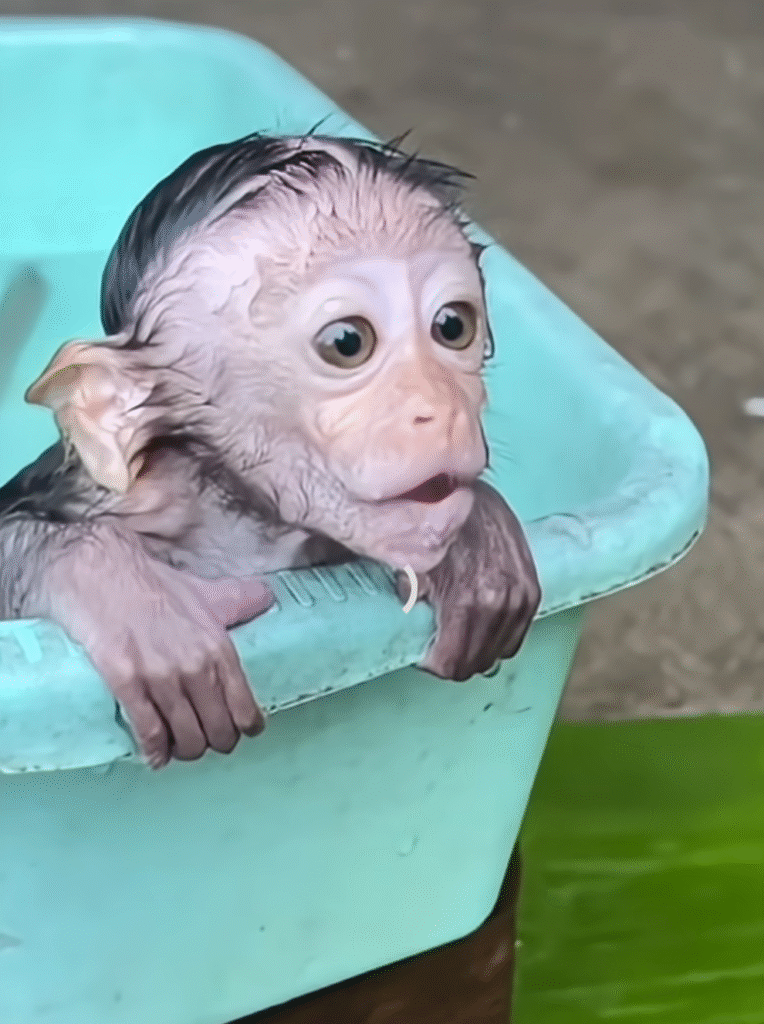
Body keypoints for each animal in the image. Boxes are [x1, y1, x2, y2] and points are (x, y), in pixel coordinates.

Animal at [0, 132, 541, 770]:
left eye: (453, 326)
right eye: (348, 342)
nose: (441, 406)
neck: (244, 519)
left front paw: (482, 540)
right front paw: (128, 596)